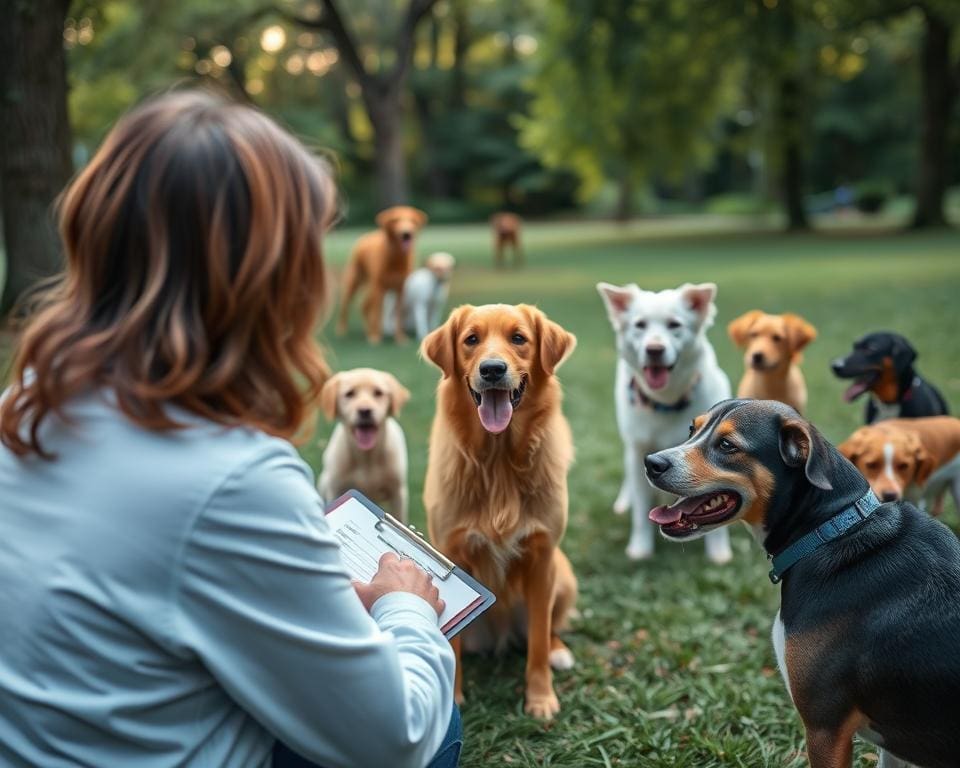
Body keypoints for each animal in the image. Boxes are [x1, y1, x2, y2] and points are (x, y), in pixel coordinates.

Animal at [316, 366, 410, 520]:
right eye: (349, 394)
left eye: (378, 393)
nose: (365, 411)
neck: (366, 457)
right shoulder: (336, 490)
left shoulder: (398, 493)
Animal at [338, 207, 428, 344]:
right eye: (395, 220)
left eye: (413, 220)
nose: (406, 233)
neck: (396, 260)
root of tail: (367, 235)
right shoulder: (379, 288)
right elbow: (377, 314)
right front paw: (375, 337)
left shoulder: (400, 290)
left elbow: (397, 317)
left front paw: (400, 338)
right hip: (355, 282)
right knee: (346, 305)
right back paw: (343, 330)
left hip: (373, 288)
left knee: (364, 306)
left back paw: (367, 329)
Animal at [420, 302, 576, 720]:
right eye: (471, 339)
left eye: (518, 338)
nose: (492, 369)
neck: (499, 460)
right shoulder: (451, 553)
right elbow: (453, 649)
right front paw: (453, 701)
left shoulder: (542, 557)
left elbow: (537, 642)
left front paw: (540, 698)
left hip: (563, 575)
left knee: (548, 630)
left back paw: (560, 652)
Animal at [596, 282, 732, 564]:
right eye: (640, 325)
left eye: (674, 325)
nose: (654, 349)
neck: (666, 401)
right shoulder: (638, 451)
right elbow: (640, 512)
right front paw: (640, 549)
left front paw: (718, 553)